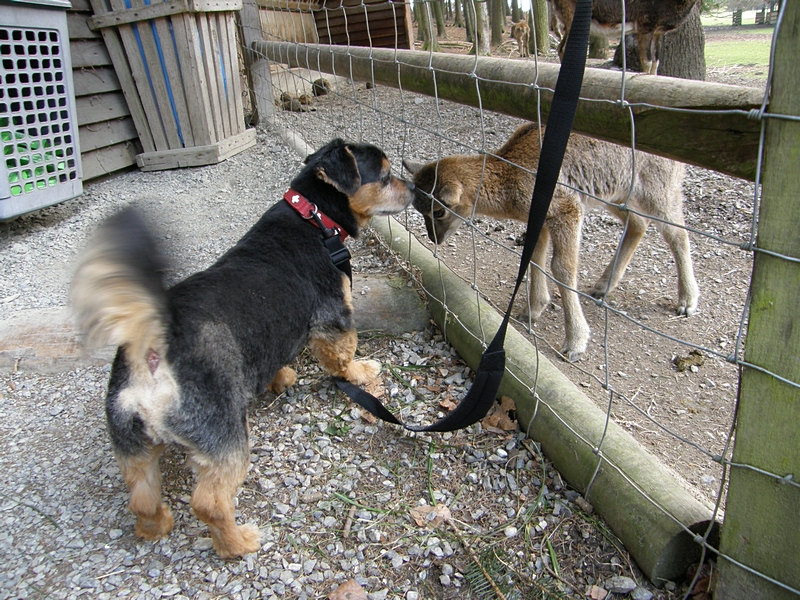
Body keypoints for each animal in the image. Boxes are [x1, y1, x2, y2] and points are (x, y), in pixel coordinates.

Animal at [72, 139, 416, 556]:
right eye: (384, 175)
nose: (416, 188)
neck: (313, 217)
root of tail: (151, 352)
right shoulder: (334, 318)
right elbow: (342, 357)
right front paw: (361, 372)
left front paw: (281, 378)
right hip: (226, 439)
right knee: (210, 502)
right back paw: (238, 543)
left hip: (132, 444)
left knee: (141, 496)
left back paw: (155, 527)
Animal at [404, 119, 696, 358]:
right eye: (418, 209)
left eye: (439, 211)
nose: (434, 238)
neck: (512, 183)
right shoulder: (540, 220)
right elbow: (534, 257)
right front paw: (532, 310)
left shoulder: (567, 208)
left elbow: (562, 267)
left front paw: (575, 343)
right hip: (617, 193)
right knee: (638, 223)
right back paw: (603, 286)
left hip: (657, 186)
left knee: (677, 232)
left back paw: (687, 301)